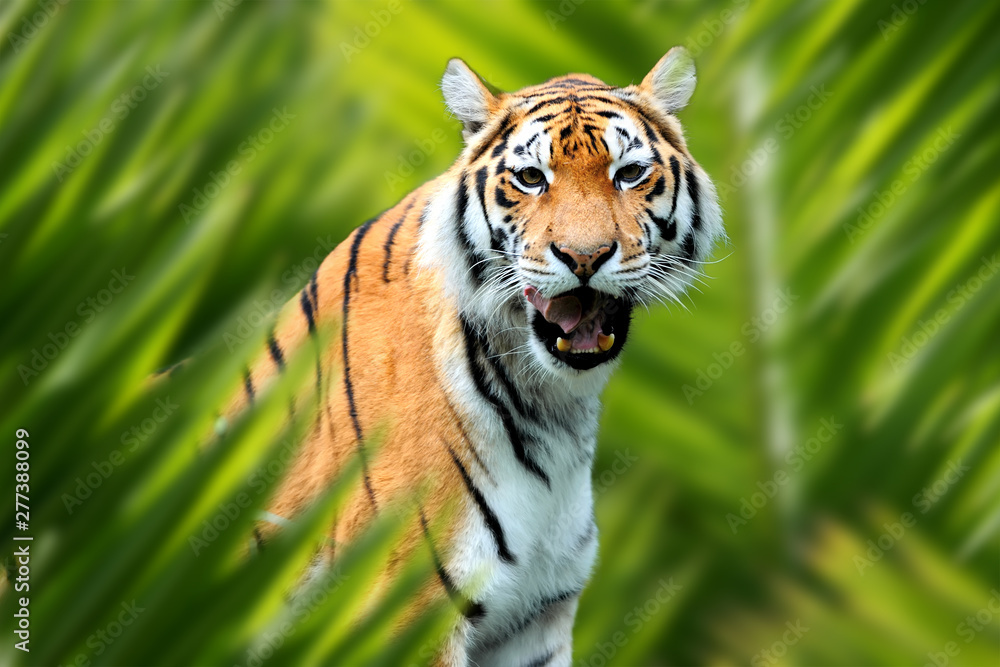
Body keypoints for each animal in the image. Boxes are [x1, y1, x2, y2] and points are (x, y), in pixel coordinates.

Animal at [220, 46, 724, 666]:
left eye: (629, 173)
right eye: (531, 178)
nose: (584, 257)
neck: (553, 407)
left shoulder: (535, 620)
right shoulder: (406, 610)